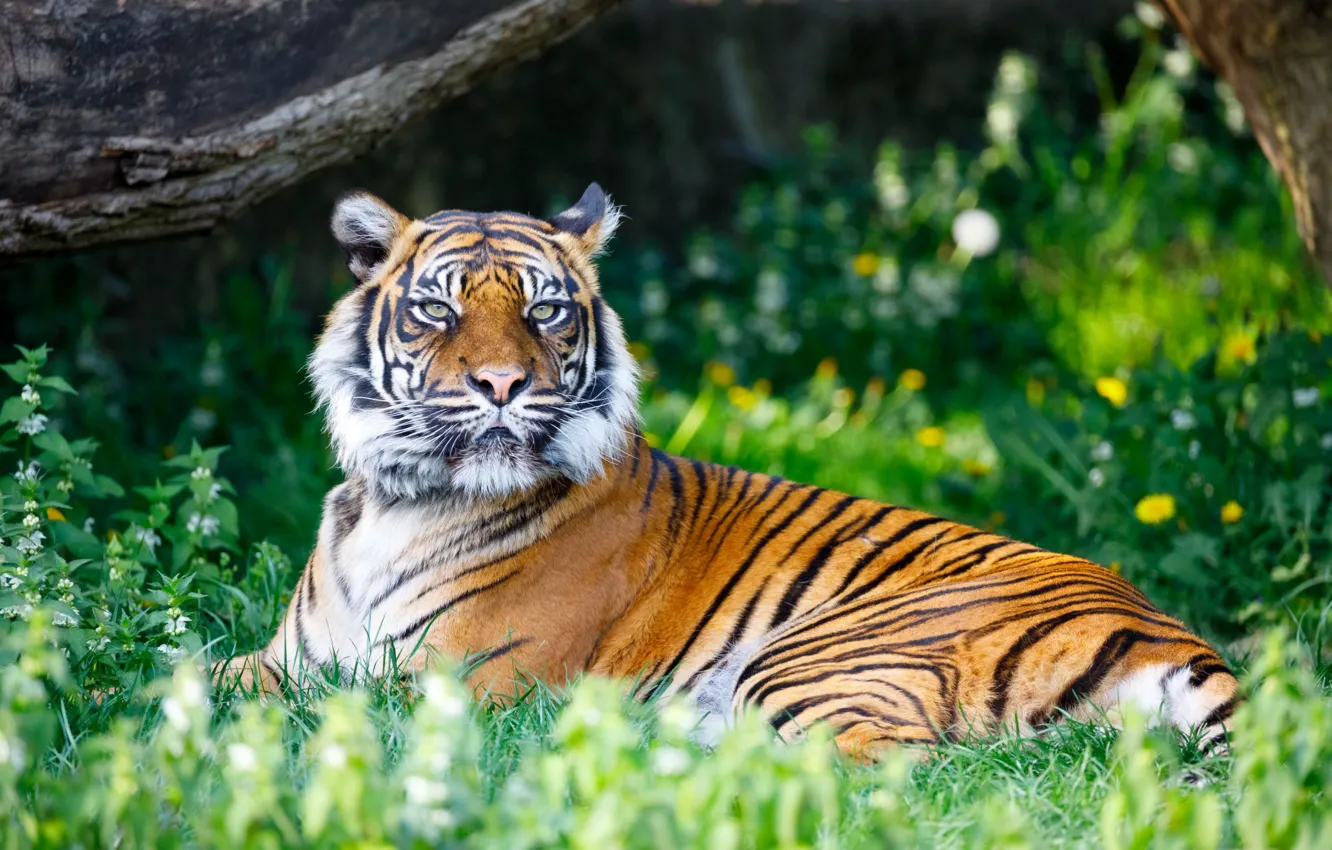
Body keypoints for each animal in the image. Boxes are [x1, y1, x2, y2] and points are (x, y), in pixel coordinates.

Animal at [217, 183, 1238, 759]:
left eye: (547, 312)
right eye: (439, 309)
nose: (503, 384)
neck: (403, 497)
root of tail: (1173, 634)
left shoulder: (458, 681)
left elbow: (322, 709)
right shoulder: (288, 657)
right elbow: (195, 669)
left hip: (811, 658)